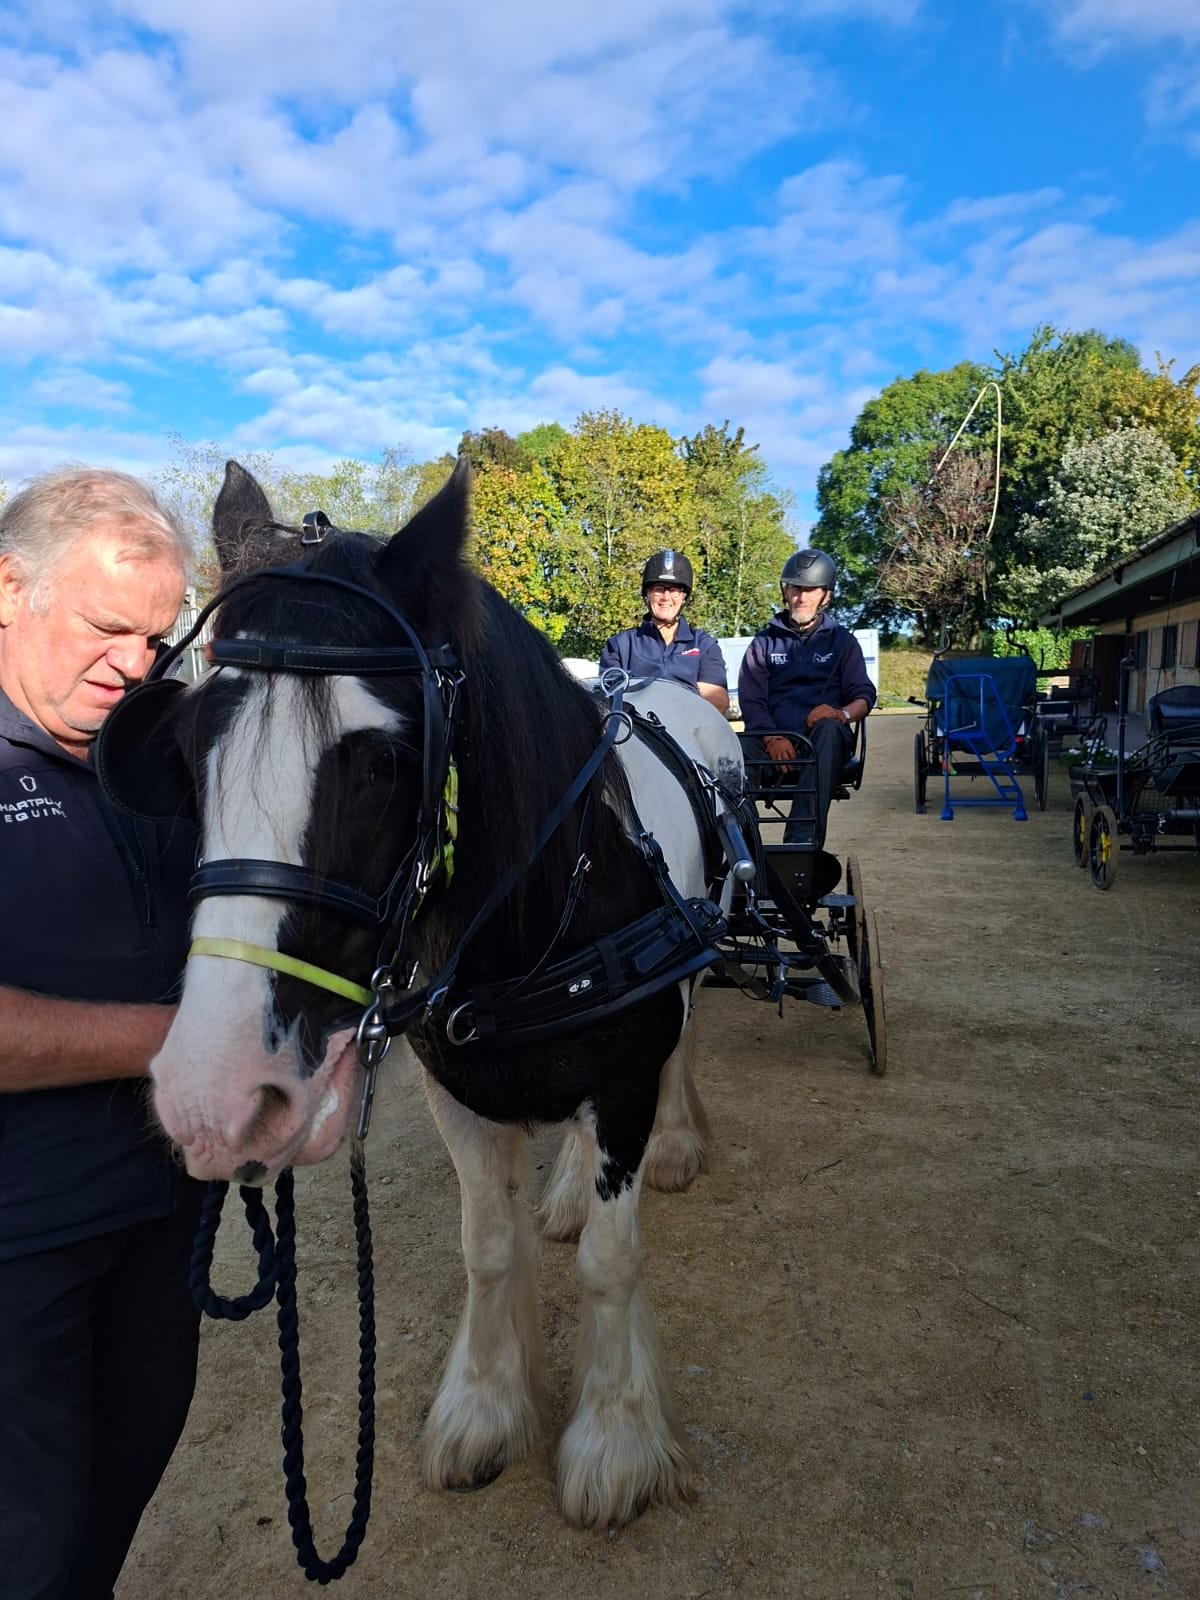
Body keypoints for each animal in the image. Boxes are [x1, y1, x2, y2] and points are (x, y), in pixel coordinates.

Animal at [100, 458, 745, 1530]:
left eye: (384, 762)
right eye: (187, 752)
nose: (213, 1096)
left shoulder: (621, 1080)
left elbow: (611, 1260)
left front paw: (615, 1437)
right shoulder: (456, 1084)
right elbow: (486, 1244)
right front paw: (483, 1407)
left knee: (688, 1046)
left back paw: (678, 1143)